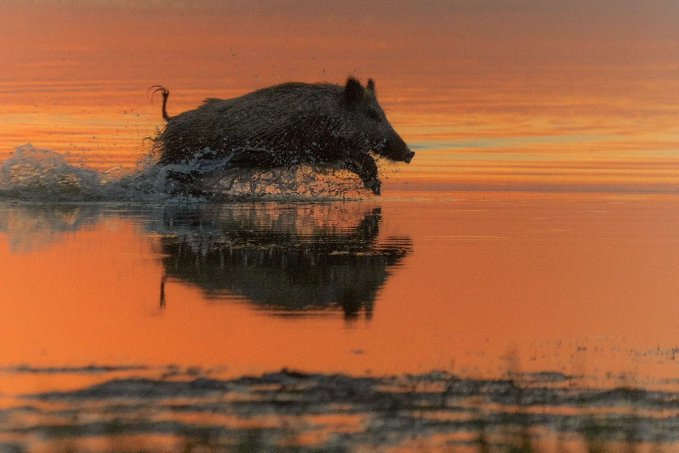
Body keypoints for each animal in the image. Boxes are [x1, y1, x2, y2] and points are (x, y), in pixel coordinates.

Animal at [152, 77, 414, 195]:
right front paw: (377, 188)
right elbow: (363, 158)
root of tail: (171, 120)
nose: (410, 153)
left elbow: (359, 160)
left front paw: (376, 188)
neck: (328, 115)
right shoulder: (319, 146)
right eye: (371, 114)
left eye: (382, 112)